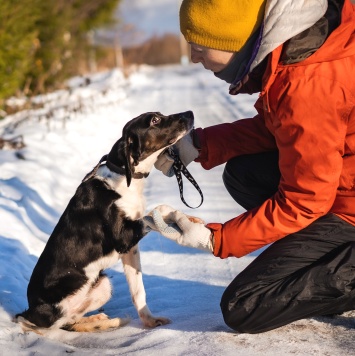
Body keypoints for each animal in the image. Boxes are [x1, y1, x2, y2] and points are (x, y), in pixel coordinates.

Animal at [16, 110, 195, 334]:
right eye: (155, 120)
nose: (190, 113)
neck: (123, 176)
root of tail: (29, 312)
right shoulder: (124, 237)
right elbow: (159, 209)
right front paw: (178, 217)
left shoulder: (130, 250)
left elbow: (139, 291)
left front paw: (150, 322)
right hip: (67, 296)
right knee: (58, 326)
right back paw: (106, 322)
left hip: (102, 285)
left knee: (71, 320)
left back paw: (101, 320)